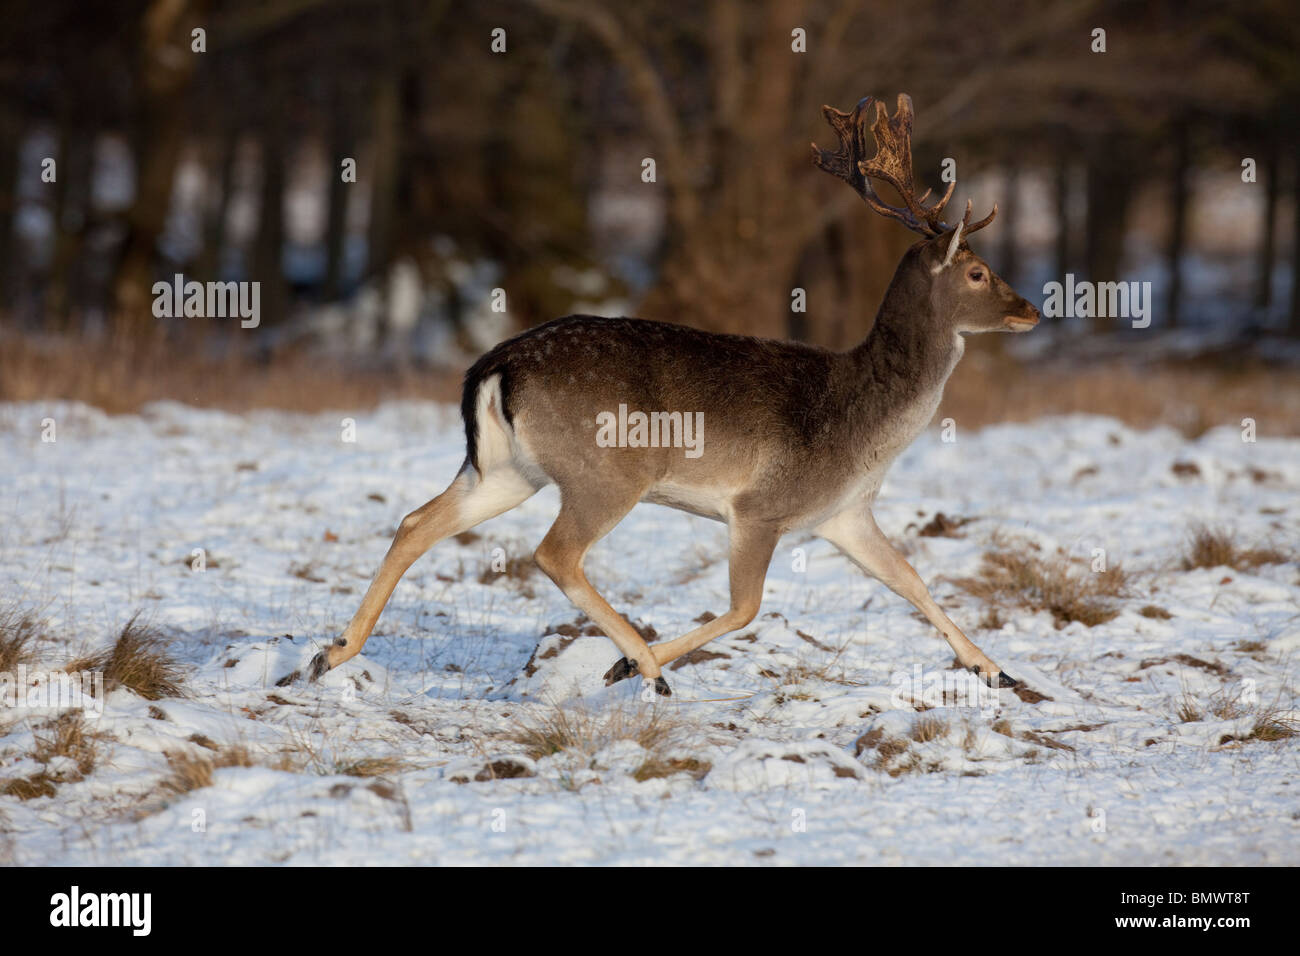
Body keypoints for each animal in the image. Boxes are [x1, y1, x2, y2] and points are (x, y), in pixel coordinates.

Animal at [301, 95, 1034, 697]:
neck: (867, 429)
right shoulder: (761, 506)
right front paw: (627, 666)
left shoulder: (843, 513)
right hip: (605, 472)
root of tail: (495, 363)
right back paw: (646, 667)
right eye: (978, 271)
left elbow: (911, 579)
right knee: (553, 553)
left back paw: (330, 653)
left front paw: (995, 669)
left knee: (416, 521)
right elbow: (745, 607)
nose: (1029, 308)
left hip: (507, 469)